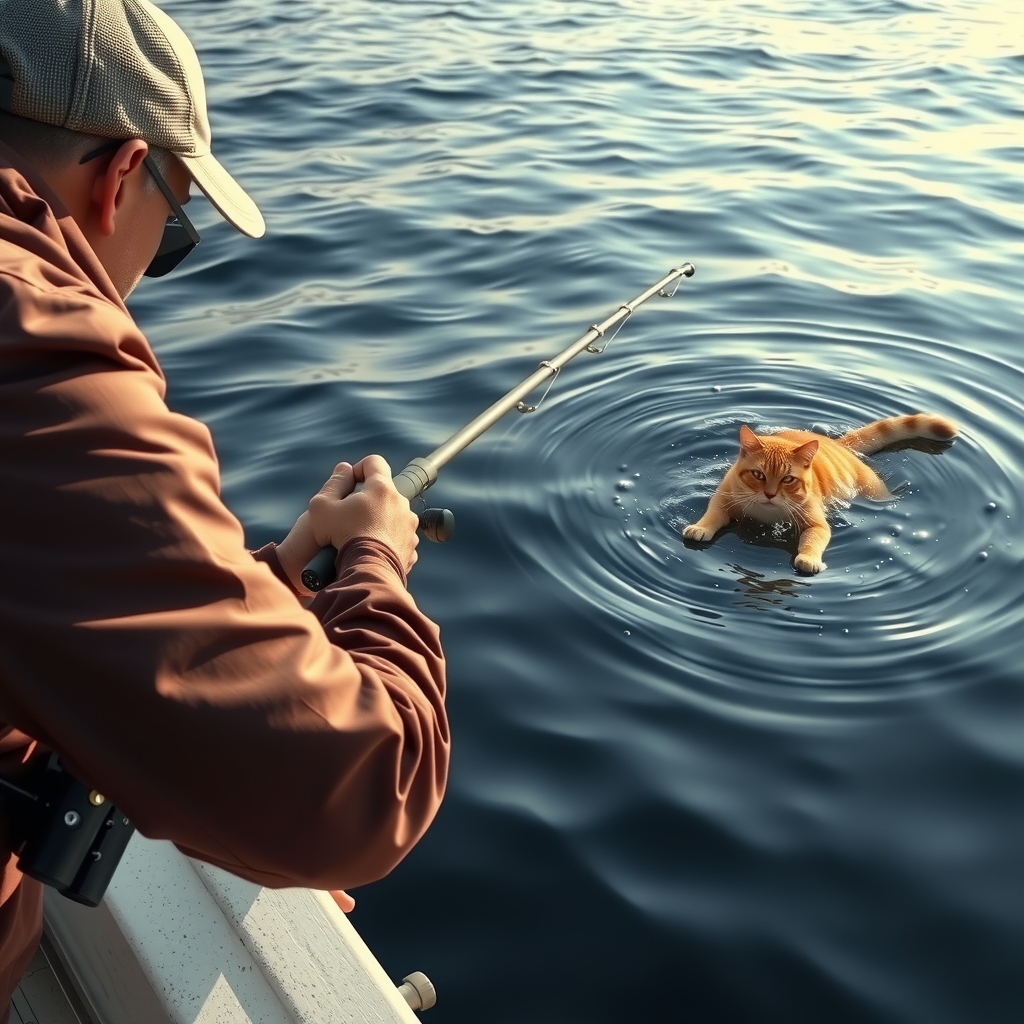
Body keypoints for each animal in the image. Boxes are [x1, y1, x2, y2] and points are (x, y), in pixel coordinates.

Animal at [684, 415, 954, 577]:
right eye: (758, 475)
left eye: (788, 479)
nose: (770, 494)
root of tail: (838, 445)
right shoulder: (722, 498)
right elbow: (712, 515)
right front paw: (700, 528)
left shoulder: (816, 524)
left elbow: (813, 540)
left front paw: (808, 559)